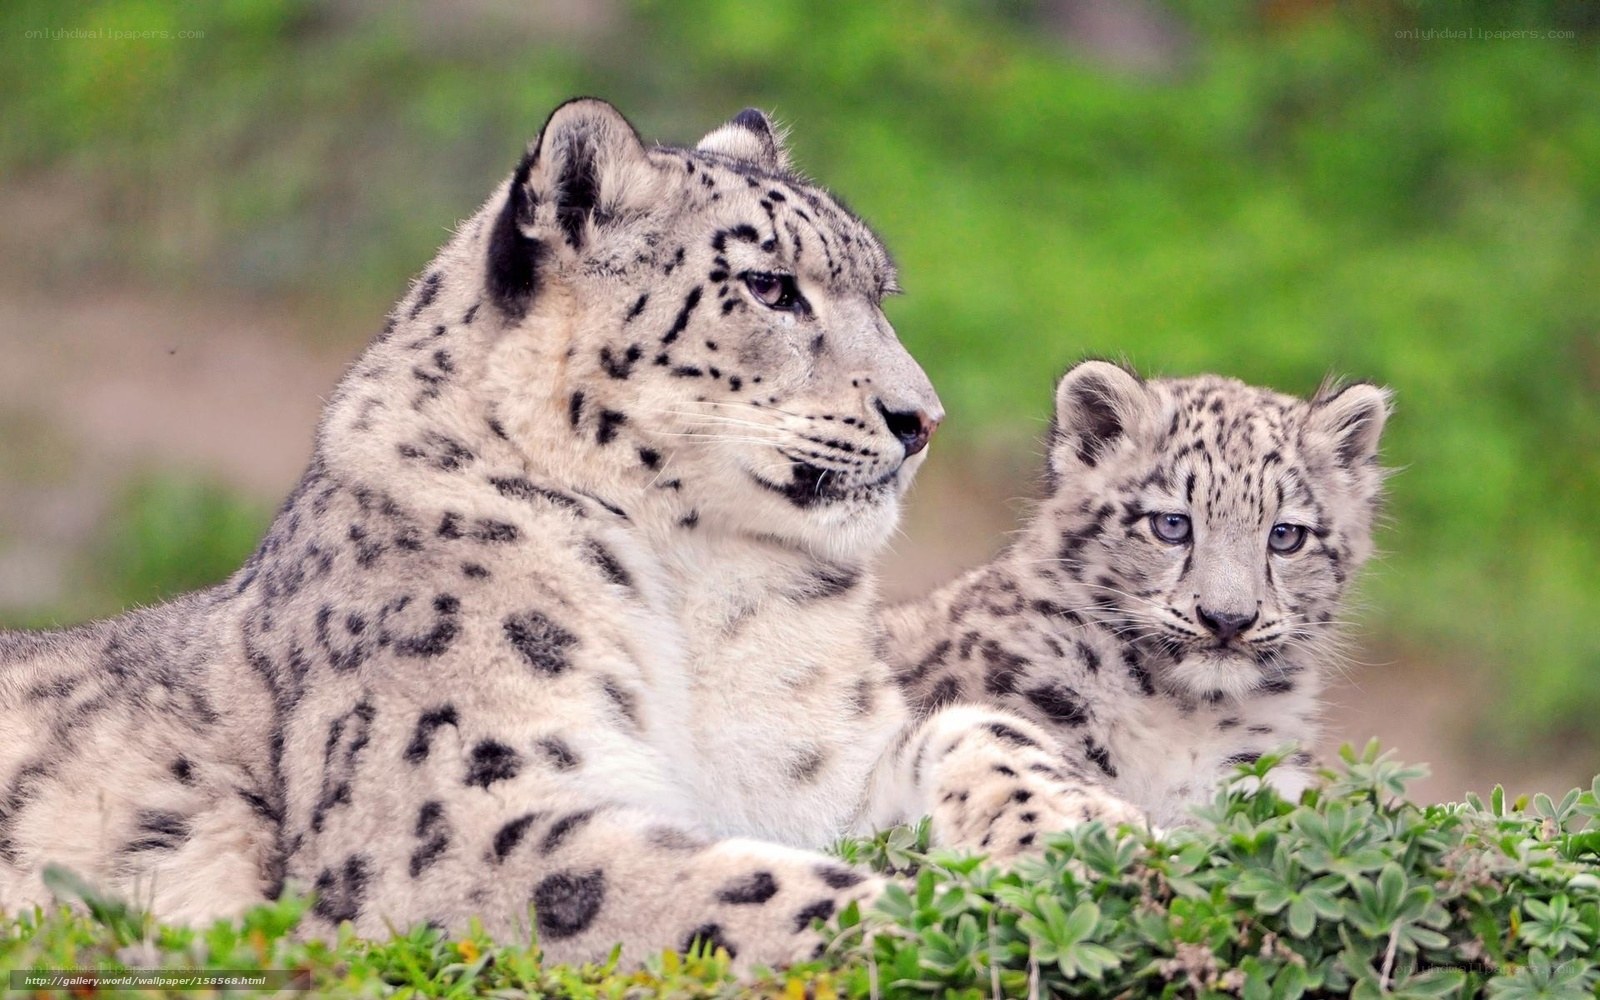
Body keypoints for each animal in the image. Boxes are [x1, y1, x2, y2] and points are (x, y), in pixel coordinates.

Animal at [0, 100, 1129, 970]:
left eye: (879, 293)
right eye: (770, 286)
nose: (920, 417)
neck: (704, 594)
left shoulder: (816, 763)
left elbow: (973, 730)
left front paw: (1102, 839)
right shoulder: (463, 816)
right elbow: (729, 888)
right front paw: (982, 920)